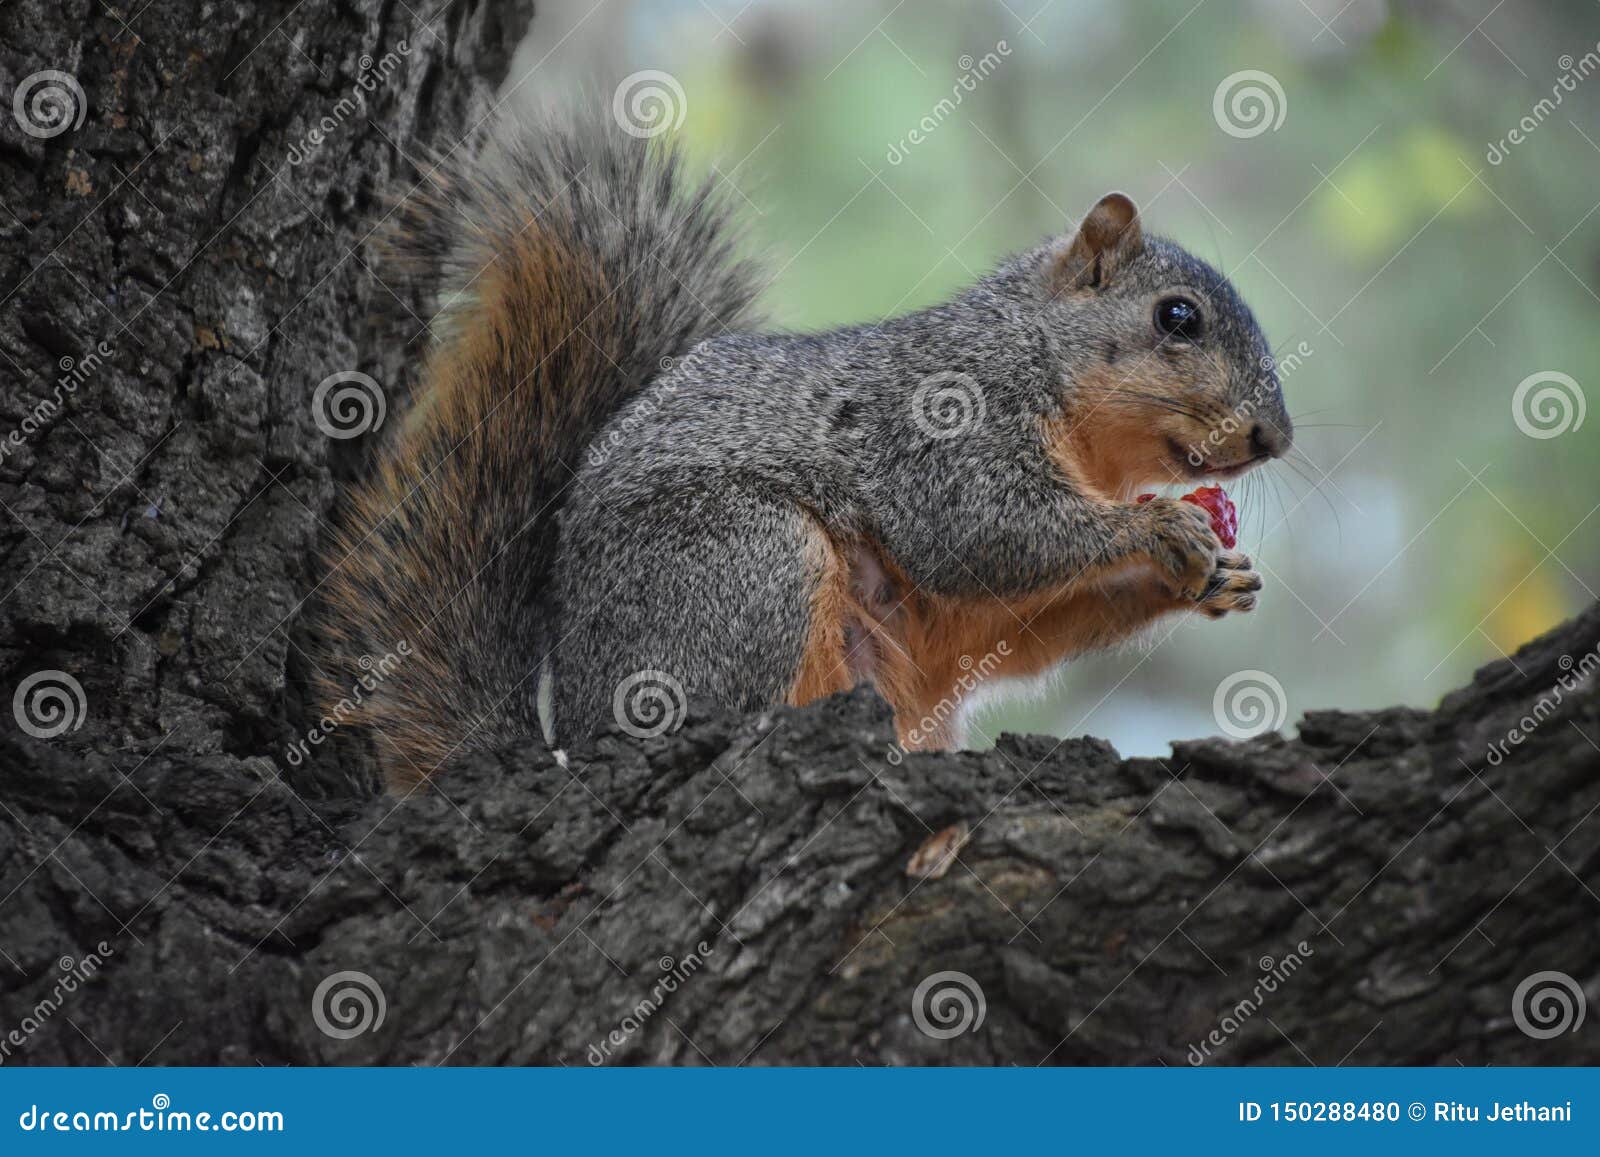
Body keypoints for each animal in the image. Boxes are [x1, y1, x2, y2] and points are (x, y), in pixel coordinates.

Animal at [316, 108, 1292, 792]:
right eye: (1177, 317)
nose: (1272, 438)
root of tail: (579, 733)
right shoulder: (946, 422)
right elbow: (982, 534)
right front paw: (1162, 533)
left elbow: (1023, 627)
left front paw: (1218, 579)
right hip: (744, 562)